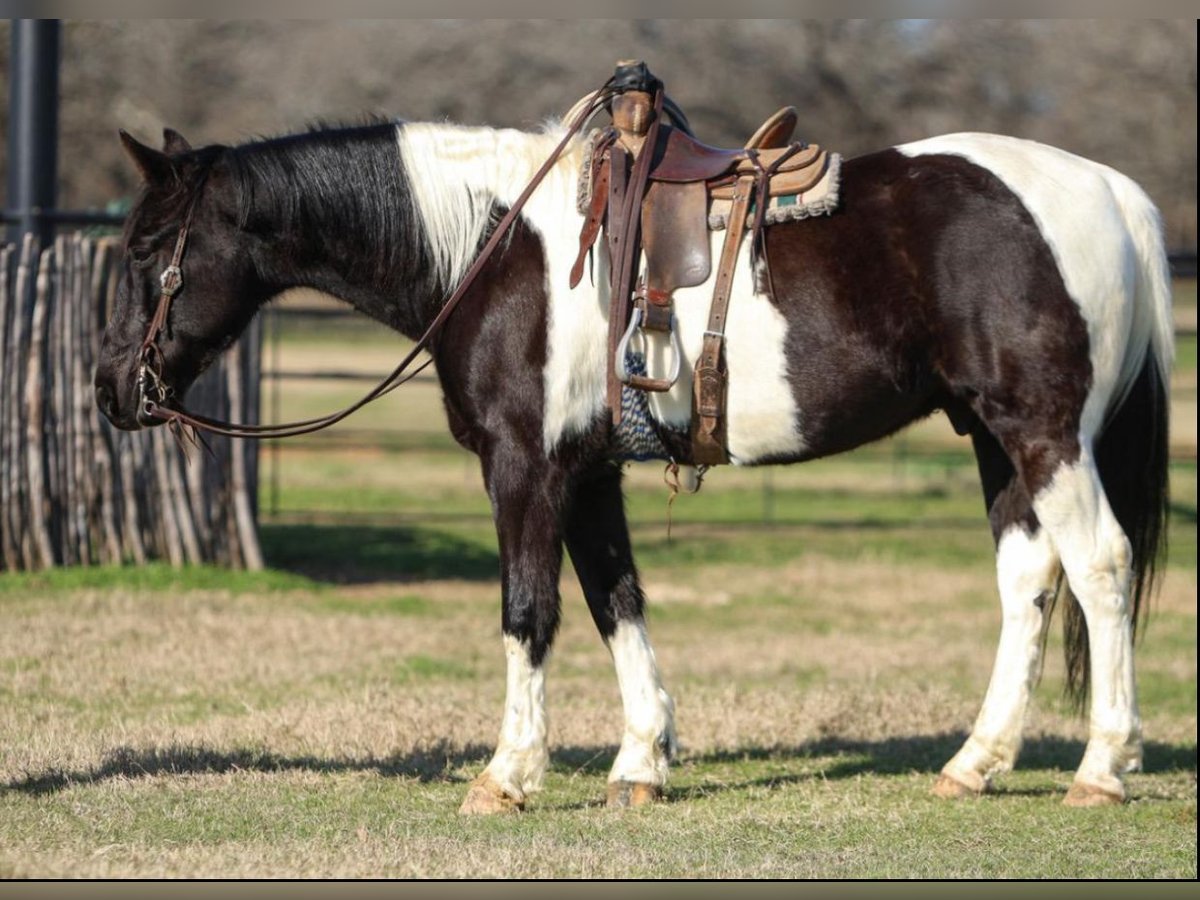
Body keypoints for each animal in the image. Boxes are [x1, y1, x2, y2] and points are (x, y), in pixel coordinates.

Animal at [94, 102, 1173, 813]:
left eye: (149, 249)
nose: (111, 389)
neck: (494, 250)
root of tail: (1112, 193)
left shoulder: (524, 467)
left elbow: (528, 610)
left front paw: (507, 776)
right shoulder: (589, 473)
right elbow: (617, 600)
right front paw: (643, 764)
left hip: (1043, 433)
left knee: (1100, 566)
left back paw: (1101, 768)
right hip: (995, 441)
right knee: (1030, 583)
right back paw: (975, 762)